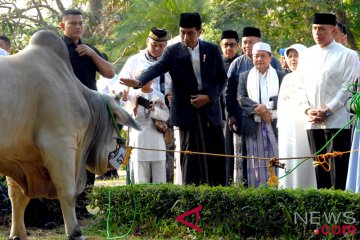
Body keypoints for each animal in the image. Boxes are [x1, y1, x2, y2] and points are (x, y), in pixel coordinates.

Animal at [0, 31, 141, 239]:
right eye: (120, 125)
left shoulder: (17, 153)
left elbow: (17, 197)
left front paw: (18, 234)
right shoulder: (60, 144)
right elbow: (67, 192)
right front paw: (75, 232)